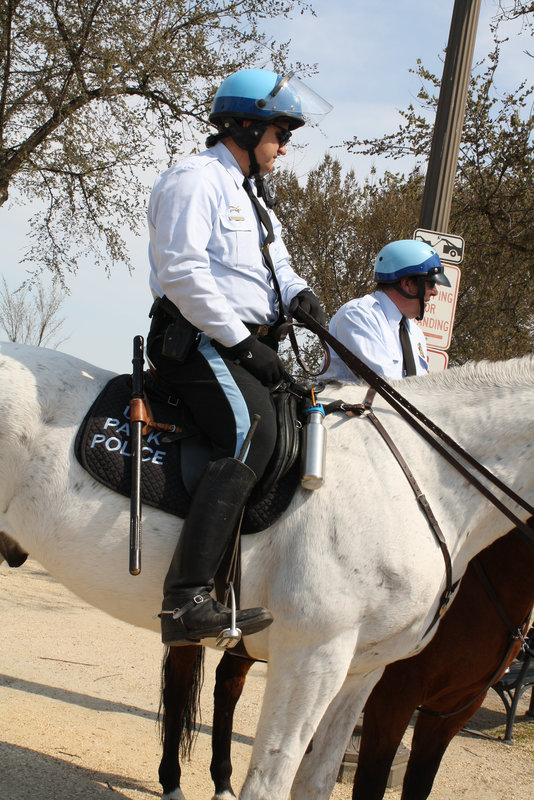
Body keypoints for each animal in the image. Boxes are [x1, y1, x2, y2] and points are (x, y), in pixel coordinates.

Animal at [159, 524, 534, 800]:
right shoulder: (393, 699)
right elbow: (371, 780)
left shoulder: (452, 712)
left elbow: (419, 785)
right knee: (178, 692)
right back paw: (171, 781)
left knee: (227, 689)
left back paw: (223, 784)